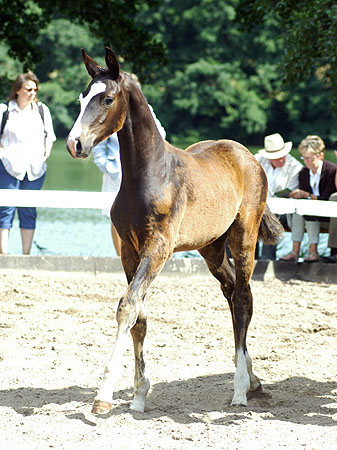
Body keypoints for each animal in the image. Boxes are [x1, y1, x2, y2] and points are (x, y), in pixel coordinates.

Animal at [65, 47, 280, 414]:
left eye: (107, 98)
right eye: (82, 98)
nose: (74, 144)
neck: (149, 175)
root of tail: (248, 156)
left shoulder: (158, 248)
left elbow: (127, 306)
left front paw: (103, 396)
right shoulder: (129, 251)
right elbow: (138, 315)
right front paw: (138, 395)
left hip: (244, 237)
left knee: (242, 298)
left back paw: (239, 389)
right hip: (211, 248)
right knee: (232, 291)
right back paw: (252, 379)